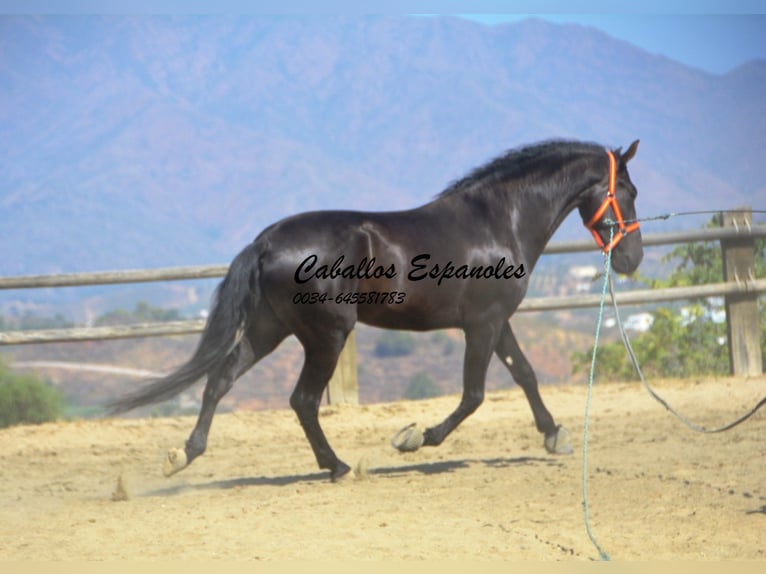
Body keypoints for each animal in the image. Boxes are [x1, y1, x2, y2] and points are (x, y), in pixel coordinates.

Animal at [111, 138, 644, 482]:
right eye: (631, 192)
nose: (632, 260)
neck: (498, 221)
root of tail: (265, 242)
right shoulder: (483, 324)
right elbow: (474, 395)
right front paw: (412, 438)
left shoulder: (496, 322)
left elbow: (525, 375)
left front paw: (555, 436)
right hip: (325, 336)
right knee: (302, 400)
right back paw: (338, 467)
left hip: (270, 328)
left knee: (220, 379)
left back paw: (183, 456)